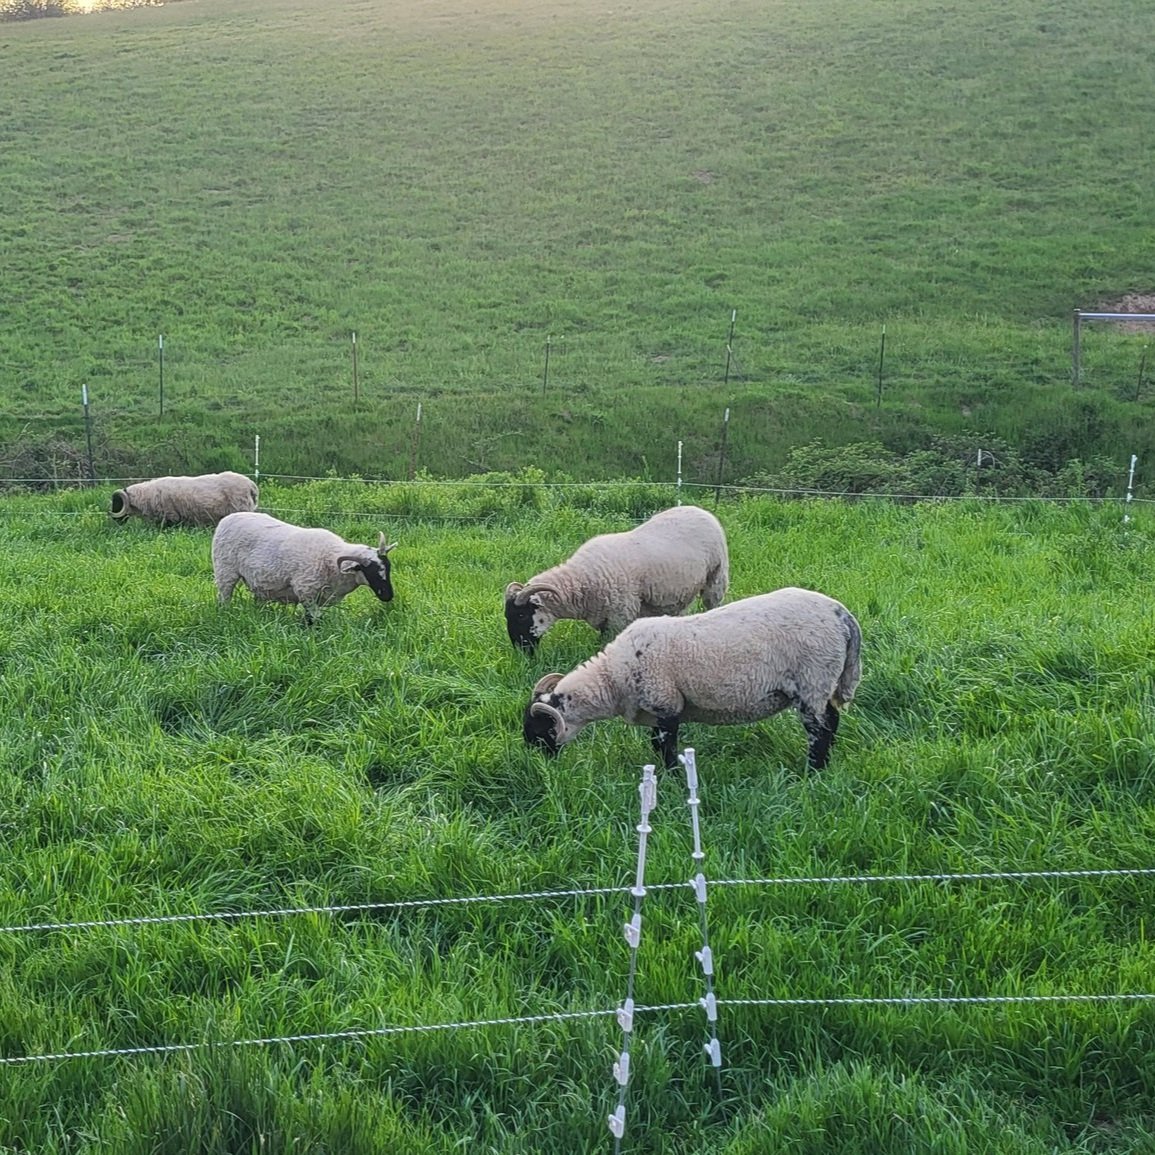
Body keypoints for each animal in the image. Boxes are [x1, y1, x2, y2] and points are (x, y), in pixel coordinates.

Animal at [211, 512, 397, 624]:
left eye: (388, 568)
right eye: (370, 571)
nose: (387, 596)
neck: (331, 559)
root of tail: (228, 518)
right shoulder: (306, 591)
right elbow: (313, 621)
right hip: (224, 571)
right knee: (224, 598)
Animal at [504, 504, 729, 653]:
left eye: (522, 615)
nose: (522, 652)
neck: (581, 579)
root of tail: (700, 510)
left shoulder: (619, 615)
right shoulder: (603, 617)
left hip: (716, 577)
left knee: (712, 603)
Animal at [523, 587, 861, 770]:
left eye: (539, 730)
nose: (538, 762)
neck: (612, 679)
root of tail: (842, 615)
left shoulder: (666, 703)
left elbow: (665, 747)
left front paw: (672, 777)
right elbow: (657, 744)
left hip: (813, 681)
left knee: (820, 730)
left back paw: (812, 771)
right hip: (823, 684)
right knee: (832, 720)